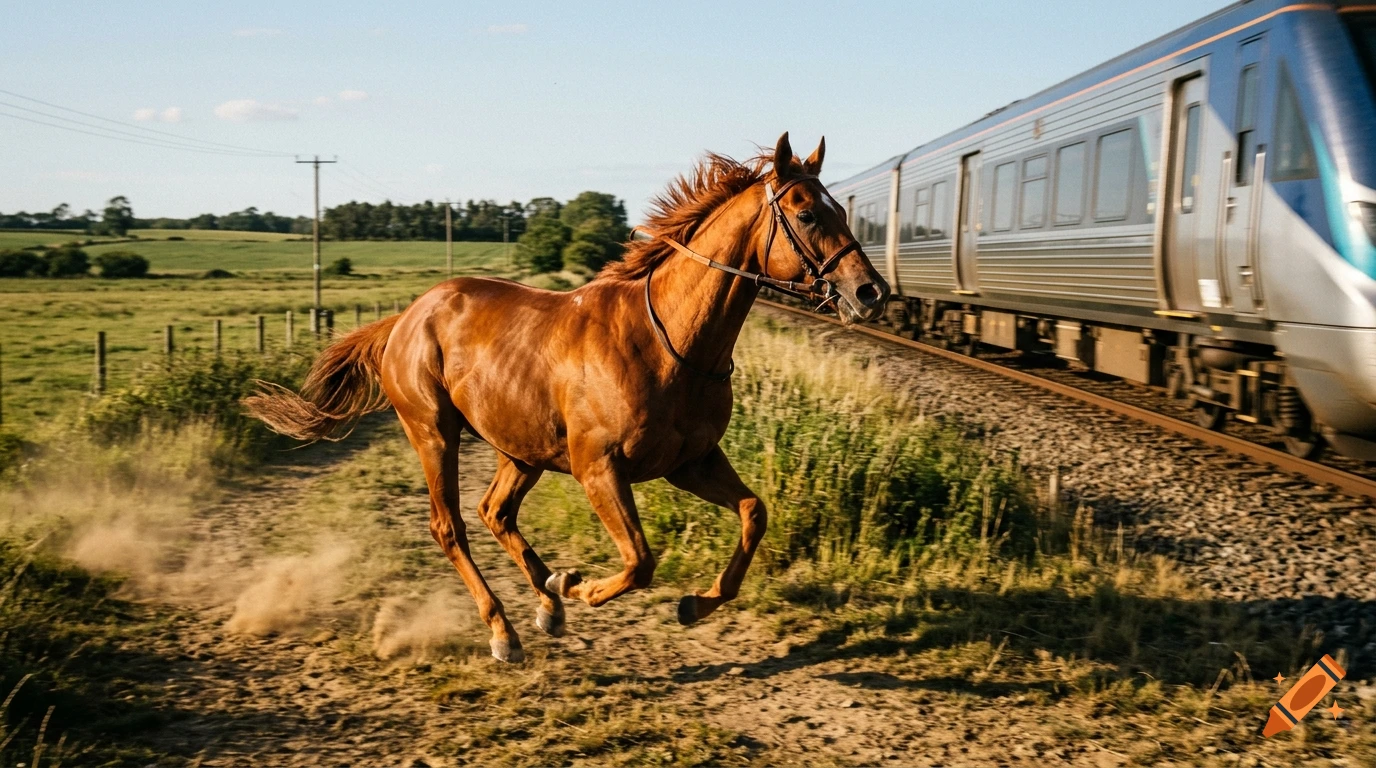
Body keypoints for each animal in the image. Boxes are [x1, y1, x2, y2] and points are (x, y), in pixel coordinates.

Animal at [245, 132, 890, 662]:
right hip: (434, 432)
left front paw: (691, 603)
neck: (669, 342)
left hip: (520, 448)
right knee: (450, 526)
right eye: (806, 212)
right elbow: (639, 561)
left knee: (495, 512)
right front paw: (580, 587)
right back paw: (506, 630)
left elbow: (754, 514)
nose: (871, 292)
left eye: (840, 207)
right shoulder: (598, 467)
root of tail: (406, 317)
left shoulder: (690, 462)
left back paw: (546, 604)